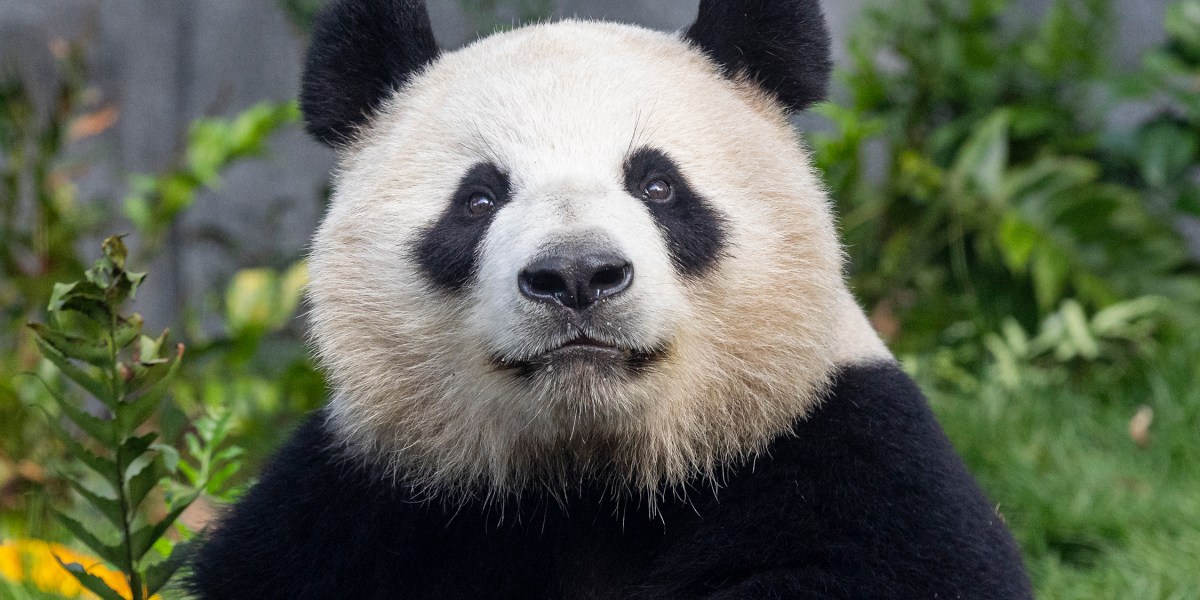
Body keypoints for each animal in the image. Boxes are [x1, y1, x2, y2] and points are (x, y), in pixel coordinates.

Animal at [189, 0, 1033, 598]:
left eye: (657, 185)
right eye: (478, 200)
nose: (576, 277)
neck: (593, 484)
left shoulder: (847, 458)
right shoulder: (369, 496)